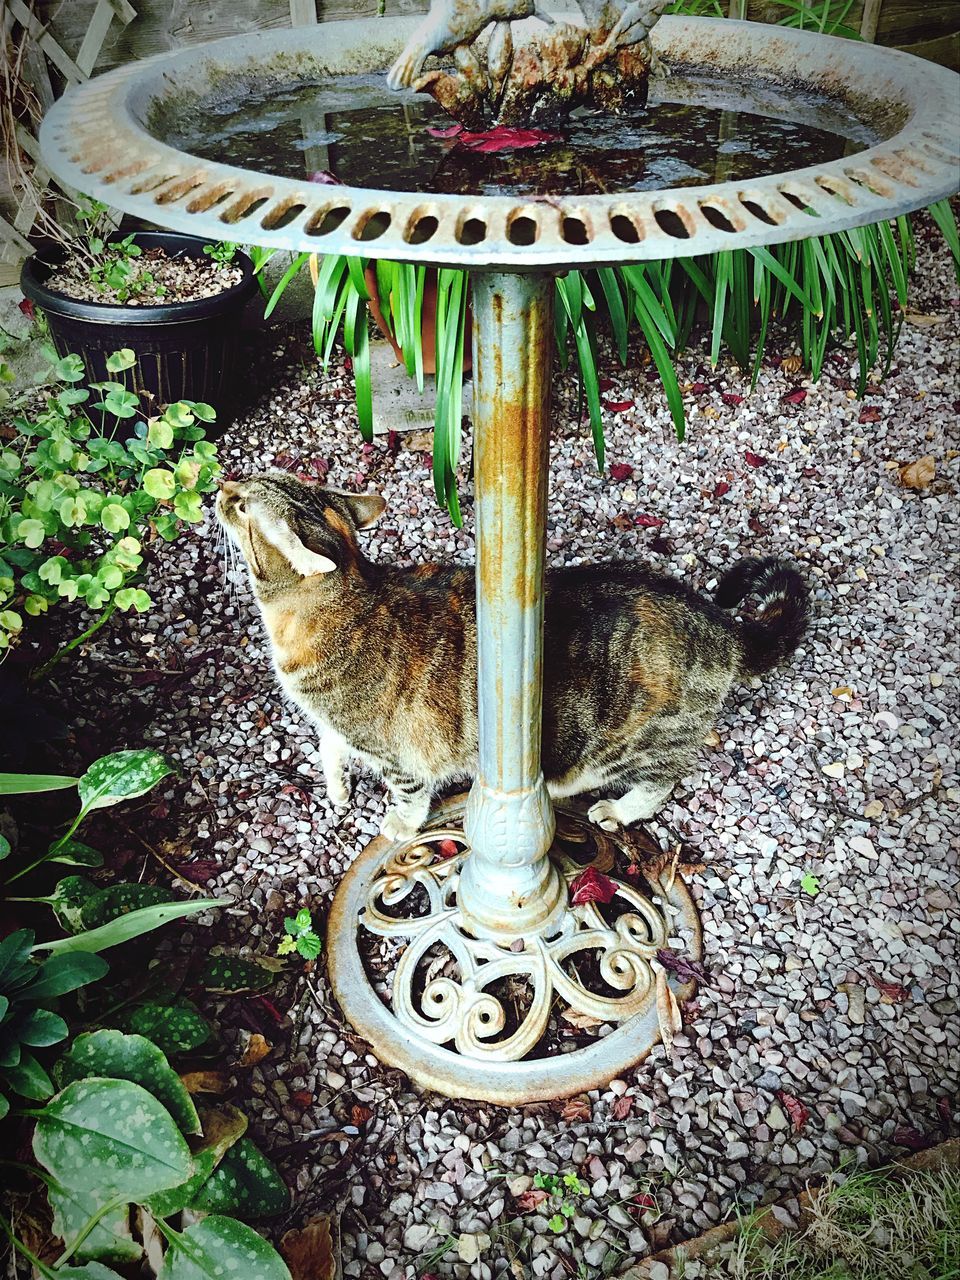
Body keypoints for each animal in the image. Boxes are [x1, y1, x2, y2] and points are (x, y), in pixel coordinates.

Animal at [213, 471, 808, 839]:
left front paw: (398, 825)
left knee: (662, 780)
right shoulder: (334, 725)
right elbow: (329, 750)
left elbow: (407, 796)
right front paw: (336, 788)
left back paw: (615, 808)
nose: (222, 483)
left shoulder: (397, 756)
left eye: (241, 505)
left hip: (630, 744)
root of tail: (719, 622)